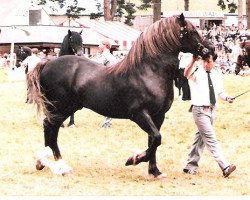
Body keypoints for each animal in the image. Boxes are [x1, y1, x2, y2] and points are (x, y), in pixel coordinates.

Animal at [26, 14, 215, 178]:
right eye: (192, 31)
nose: (212, 50)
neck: (149, 72)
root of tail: (47, 63)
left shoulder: (158, 116)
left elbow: (153, 141)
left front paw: (155, 171)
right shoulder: (139, 114)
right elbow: (156, 139)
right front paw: (133, 159)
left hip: (66, 108)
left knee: (50, 129)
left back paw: (44, 162)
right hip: (59, 107)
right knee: (50, 128)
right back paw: (59, 166)